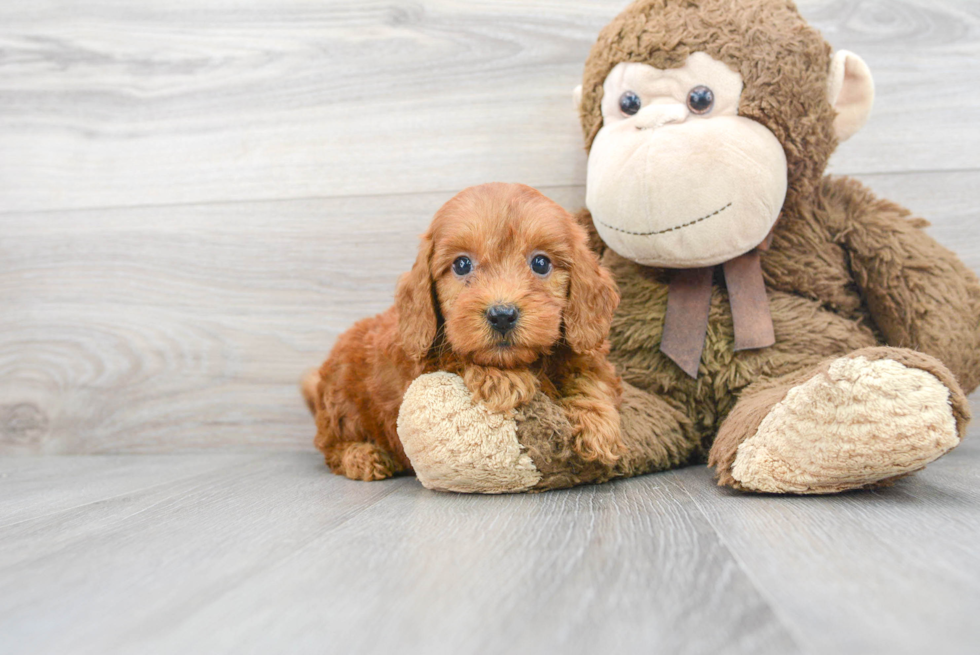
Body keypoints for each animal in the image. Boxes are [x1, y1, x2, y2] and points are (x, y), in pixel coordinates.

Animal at [306, 182, 624, 480]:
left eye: (541, 263)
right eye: (461, 264)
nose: (502, 315)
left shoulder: (584, 354)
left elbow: (590, 378)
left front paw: (598, 426)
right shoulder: (424, 362)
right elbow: (457, 355)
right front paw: (502, 380)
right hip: (343, 407)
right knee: (330, 446)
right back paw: (363, 457)